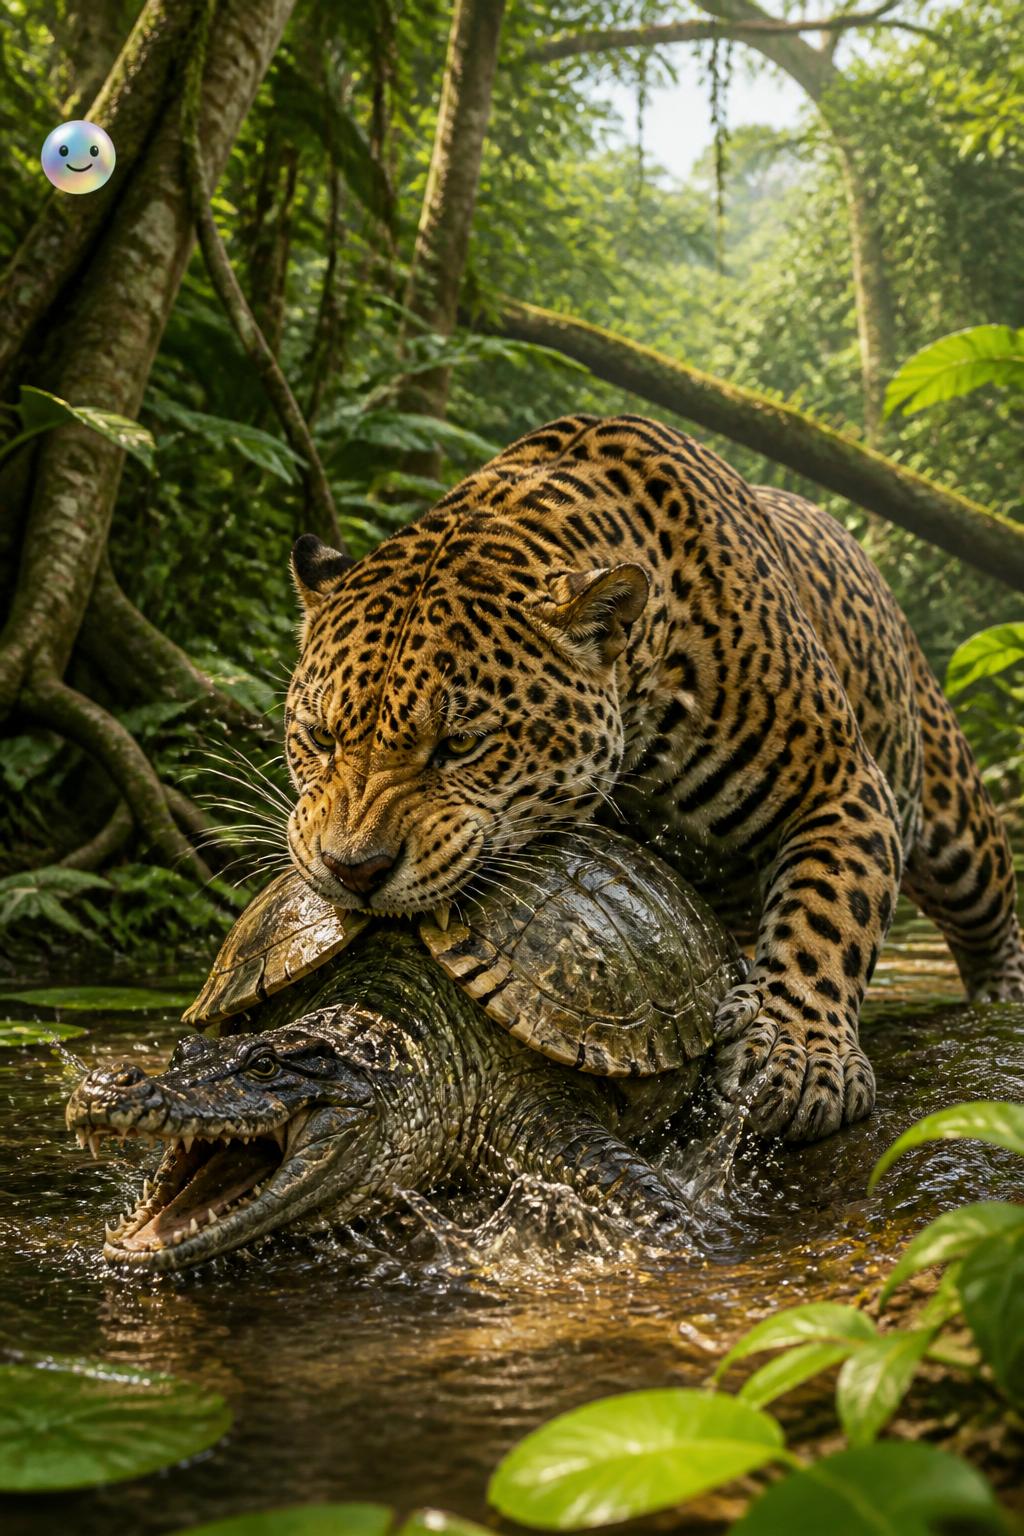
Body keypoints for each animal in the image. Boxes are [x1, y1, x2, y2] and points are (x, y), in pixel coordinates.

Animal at [283, 413, 1024, 1142]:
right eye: (320, 737)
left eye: (461, 744)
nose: (353, 870)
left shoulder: (841, 780)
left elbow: (828, 912)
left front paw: (800, 1055)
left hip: (957, 823)